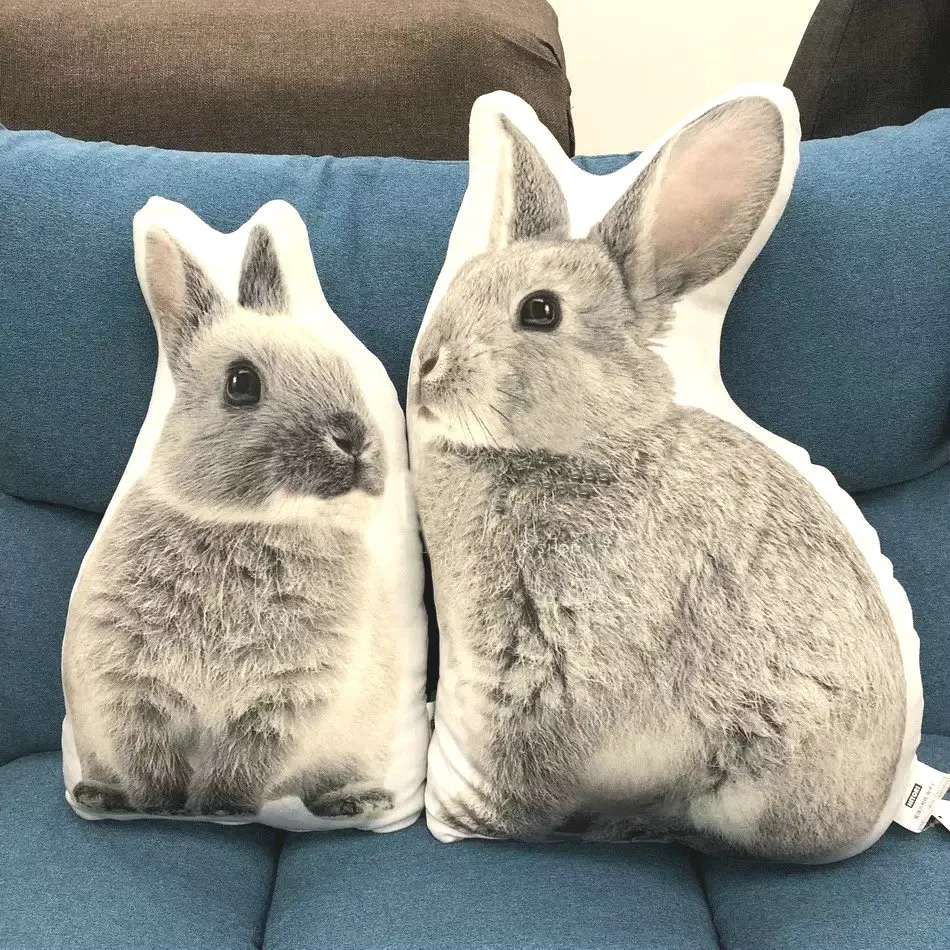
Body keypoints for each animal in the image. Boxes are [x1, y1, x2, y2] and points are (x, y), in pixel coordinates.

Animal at [62, 202, 425, 825]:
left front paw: (220, 809)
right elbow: (149, 759)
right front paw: (162, 808)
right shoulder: (131, 684)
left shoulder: (286, 697)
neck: (250, 524)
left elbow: (243, 763)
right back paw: (100, 795)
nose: (352, 438)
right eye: (240, 383)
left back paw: (357, 801)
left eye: (339, 365)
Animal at [409, 92, 911, 862]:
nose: (426, 367)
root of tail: (865, 814)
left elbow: (525, 773)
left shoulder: (557, 666)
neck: (585, 450)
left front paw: (479, 819)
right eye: (461, 283)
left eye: (540, 310)